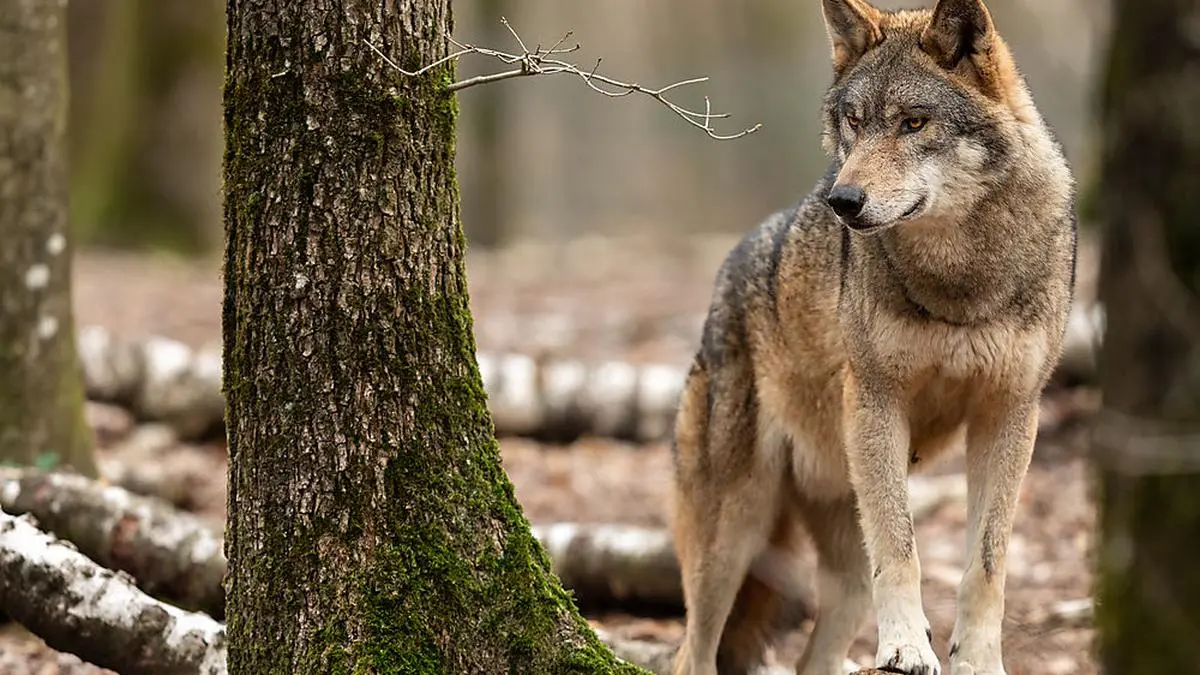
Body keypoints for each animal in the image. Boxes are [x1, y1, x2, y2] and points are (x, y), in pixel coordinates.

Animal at [668, 0, 1076, 674]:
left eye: (914, 123)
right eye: (854, 123)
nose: (843, 200)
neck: (960, 279)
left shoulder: (1010, 413)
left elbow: (987, 565)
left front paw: (978, 660)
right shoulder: (877, 402)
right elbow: (902, 550)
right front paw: (909, 647)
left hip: (842, 567)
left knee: (814, 656)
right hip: (733, 537)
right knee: (690, 652)